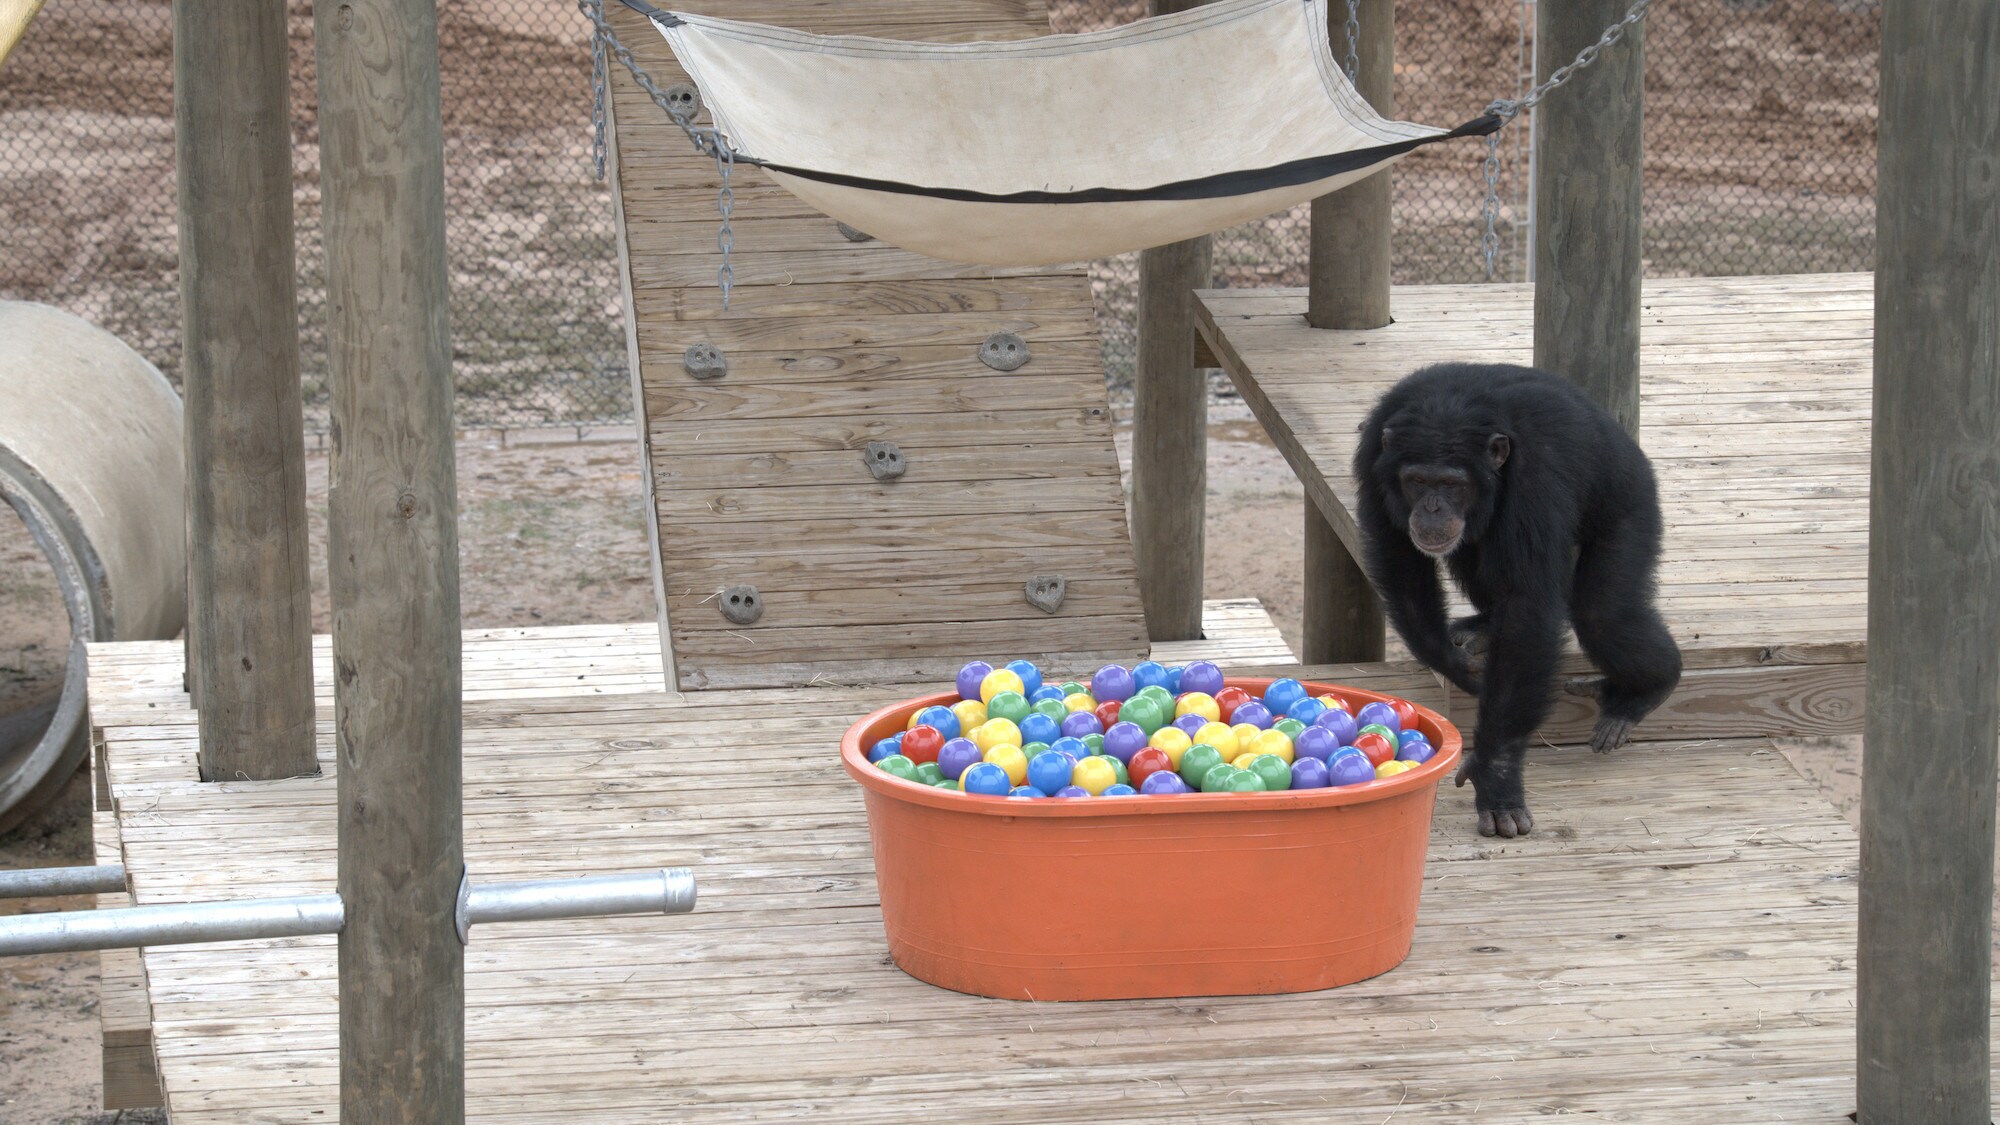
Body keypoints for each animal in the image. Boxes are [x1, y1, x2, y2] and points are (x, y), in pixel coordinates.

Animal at [1352, 358, 1680, 832]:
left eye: (1451, 484)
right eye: (1416, 480)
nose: (1432, 508)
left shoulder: (1536, 478)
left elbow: (1527, 609)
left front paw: (1496, 775)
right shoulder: (1373, 459)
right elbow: (1399, 556)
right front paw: (1450, 662)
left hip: (1632, 504)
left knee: (1605, 614)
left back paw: (1646, 690)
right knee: (1480, 552)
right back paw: (1486, 626)